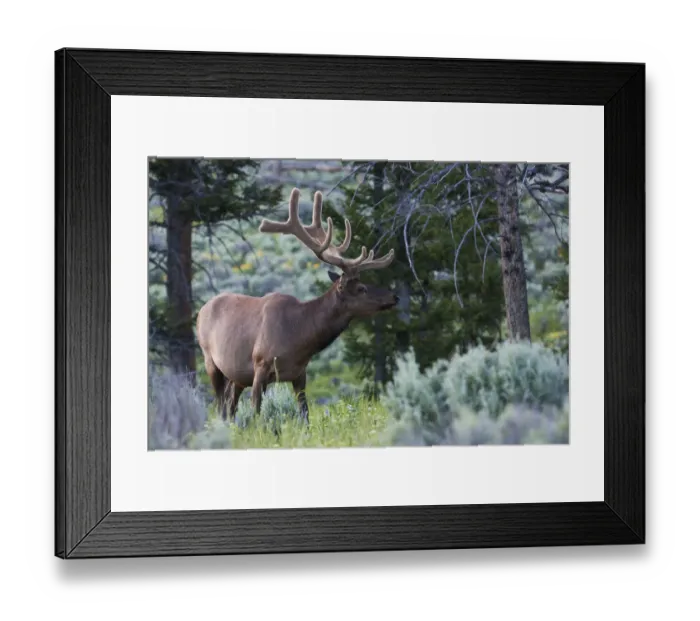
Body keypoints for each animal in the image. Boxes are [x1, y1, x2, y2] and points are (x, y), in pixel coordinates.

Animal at [195, 187, 398, 425]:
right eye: (361, 288)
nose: (394, 296)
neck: (300, 336)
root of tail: (201, 310)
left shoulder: (300, 373)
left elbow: (305, 414)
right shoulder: (260, 364)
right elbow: (257, 412)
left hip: (235, 377)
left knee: (229, 406)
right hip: (210, 360)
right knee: (220, 406)